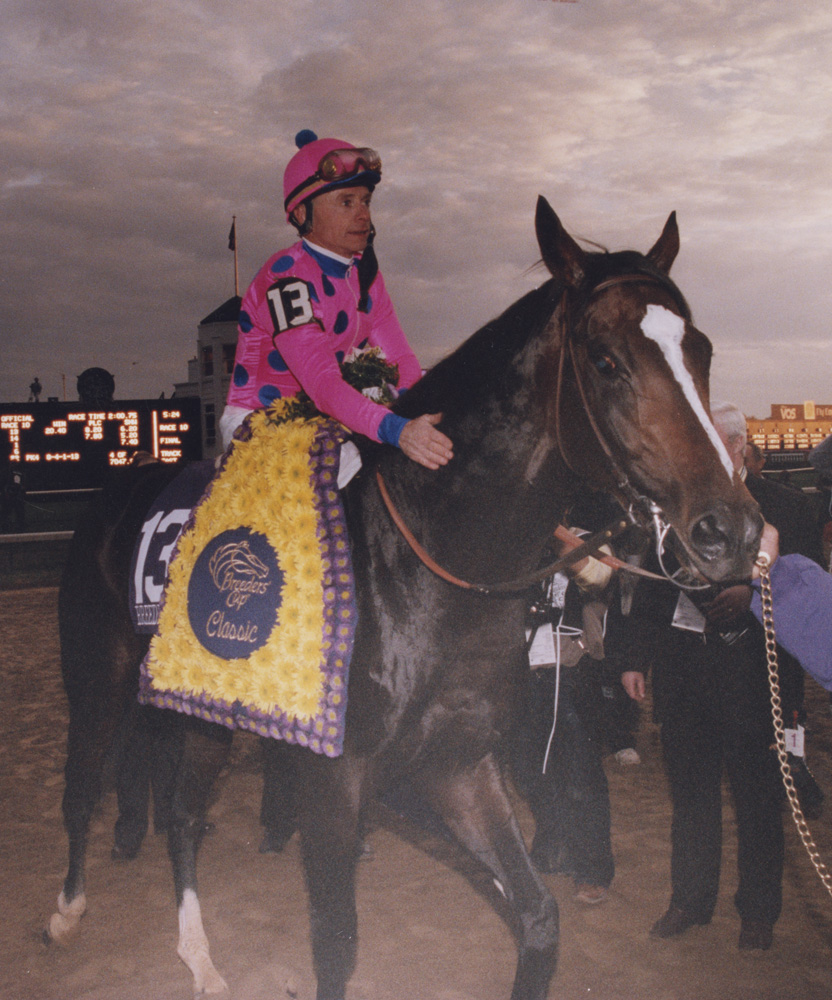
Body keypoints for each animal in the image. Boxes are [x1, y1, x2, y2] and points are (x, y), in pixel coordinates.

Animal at [44, 197, 760, 1000]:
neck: (430, 563)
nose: (729, 529)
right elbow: (336, 942)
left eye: (702, 351)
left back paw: (200, 961)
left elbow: (538, 916)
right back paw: (67, 912)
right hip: (97, 677)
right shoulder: (335, 774)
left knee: (182, 814)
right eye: (606, 361)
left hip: (203, 706)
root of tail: (114, 493)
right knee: (81, 790)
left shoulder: (457, 761)